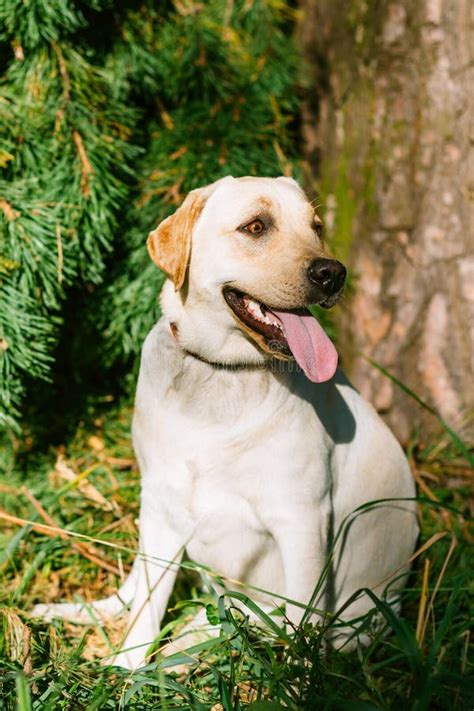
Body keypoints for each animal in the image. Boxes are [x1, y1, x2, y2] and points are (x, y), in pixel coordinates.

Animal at [32, 175, 418, 672]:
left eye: (316, 227)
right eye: (255, 226)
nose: (332, 273)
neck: (222, 373)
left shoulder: (303, 523)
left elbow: (303, 629)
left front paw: (302, 684)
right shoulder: (163, 503)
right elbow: (146, 611)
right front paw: (125, 670)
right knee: (140, 594)